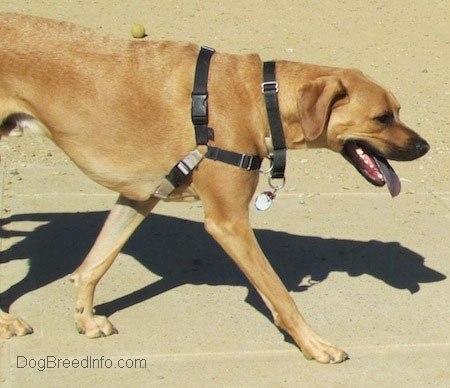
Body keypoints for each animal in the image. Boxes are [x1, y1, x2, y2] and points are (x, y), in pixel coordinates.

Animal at [0, 12, 428, 364]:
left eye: (399, 111)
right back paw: (6, 322)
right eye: (382, 117)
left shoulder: (141, 195)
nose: (425, 147)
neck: (261, 98)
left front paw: (86, 320)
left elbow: (95, 263)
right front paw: (314, 345)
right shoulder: (230, 223)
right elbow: (280, 294)